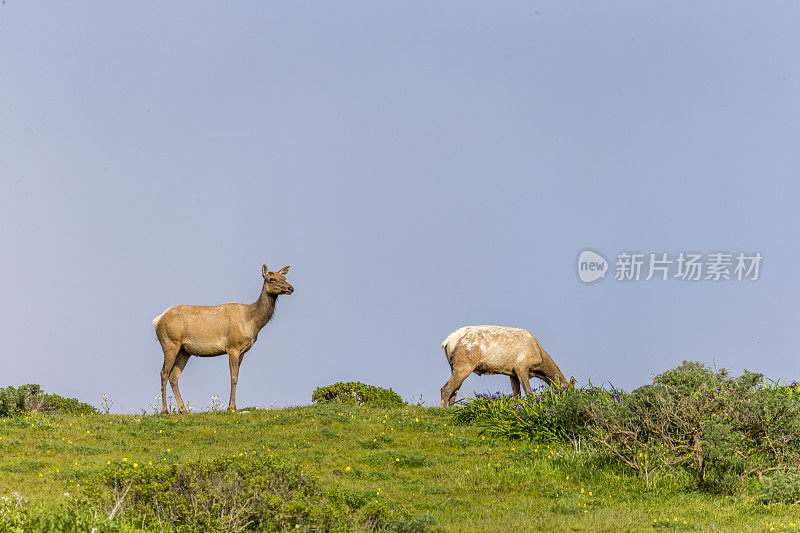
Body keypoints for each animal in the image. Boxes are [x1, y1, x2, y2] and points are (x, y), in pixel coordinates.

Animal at [153, 264, 294, 414]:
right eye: (272, 279)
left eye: (284, 278)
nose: (291, 288)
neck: (251, 322)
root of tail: (157, 320)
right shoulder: (233, 346)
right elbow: (233, 377)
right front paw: (232, 407)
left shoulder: (242, 351)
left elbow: (237, 376)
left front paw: (230, 405)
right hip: (170, 343)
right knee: (164, 373)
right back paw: (165, 411)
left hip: (184, 351)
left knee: (174, 376)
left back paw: (183, 410)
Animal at [440, 324, 572, 408]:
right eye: (569, 391)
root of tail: (447, 342)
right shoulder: (521, 366)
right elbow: (529, 393)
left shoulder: (512, 373)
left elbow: (517, 395)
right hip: (465, 364)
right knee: (446, 388)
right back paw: (444, 410)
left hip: (454, 366)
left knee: (454, 390)